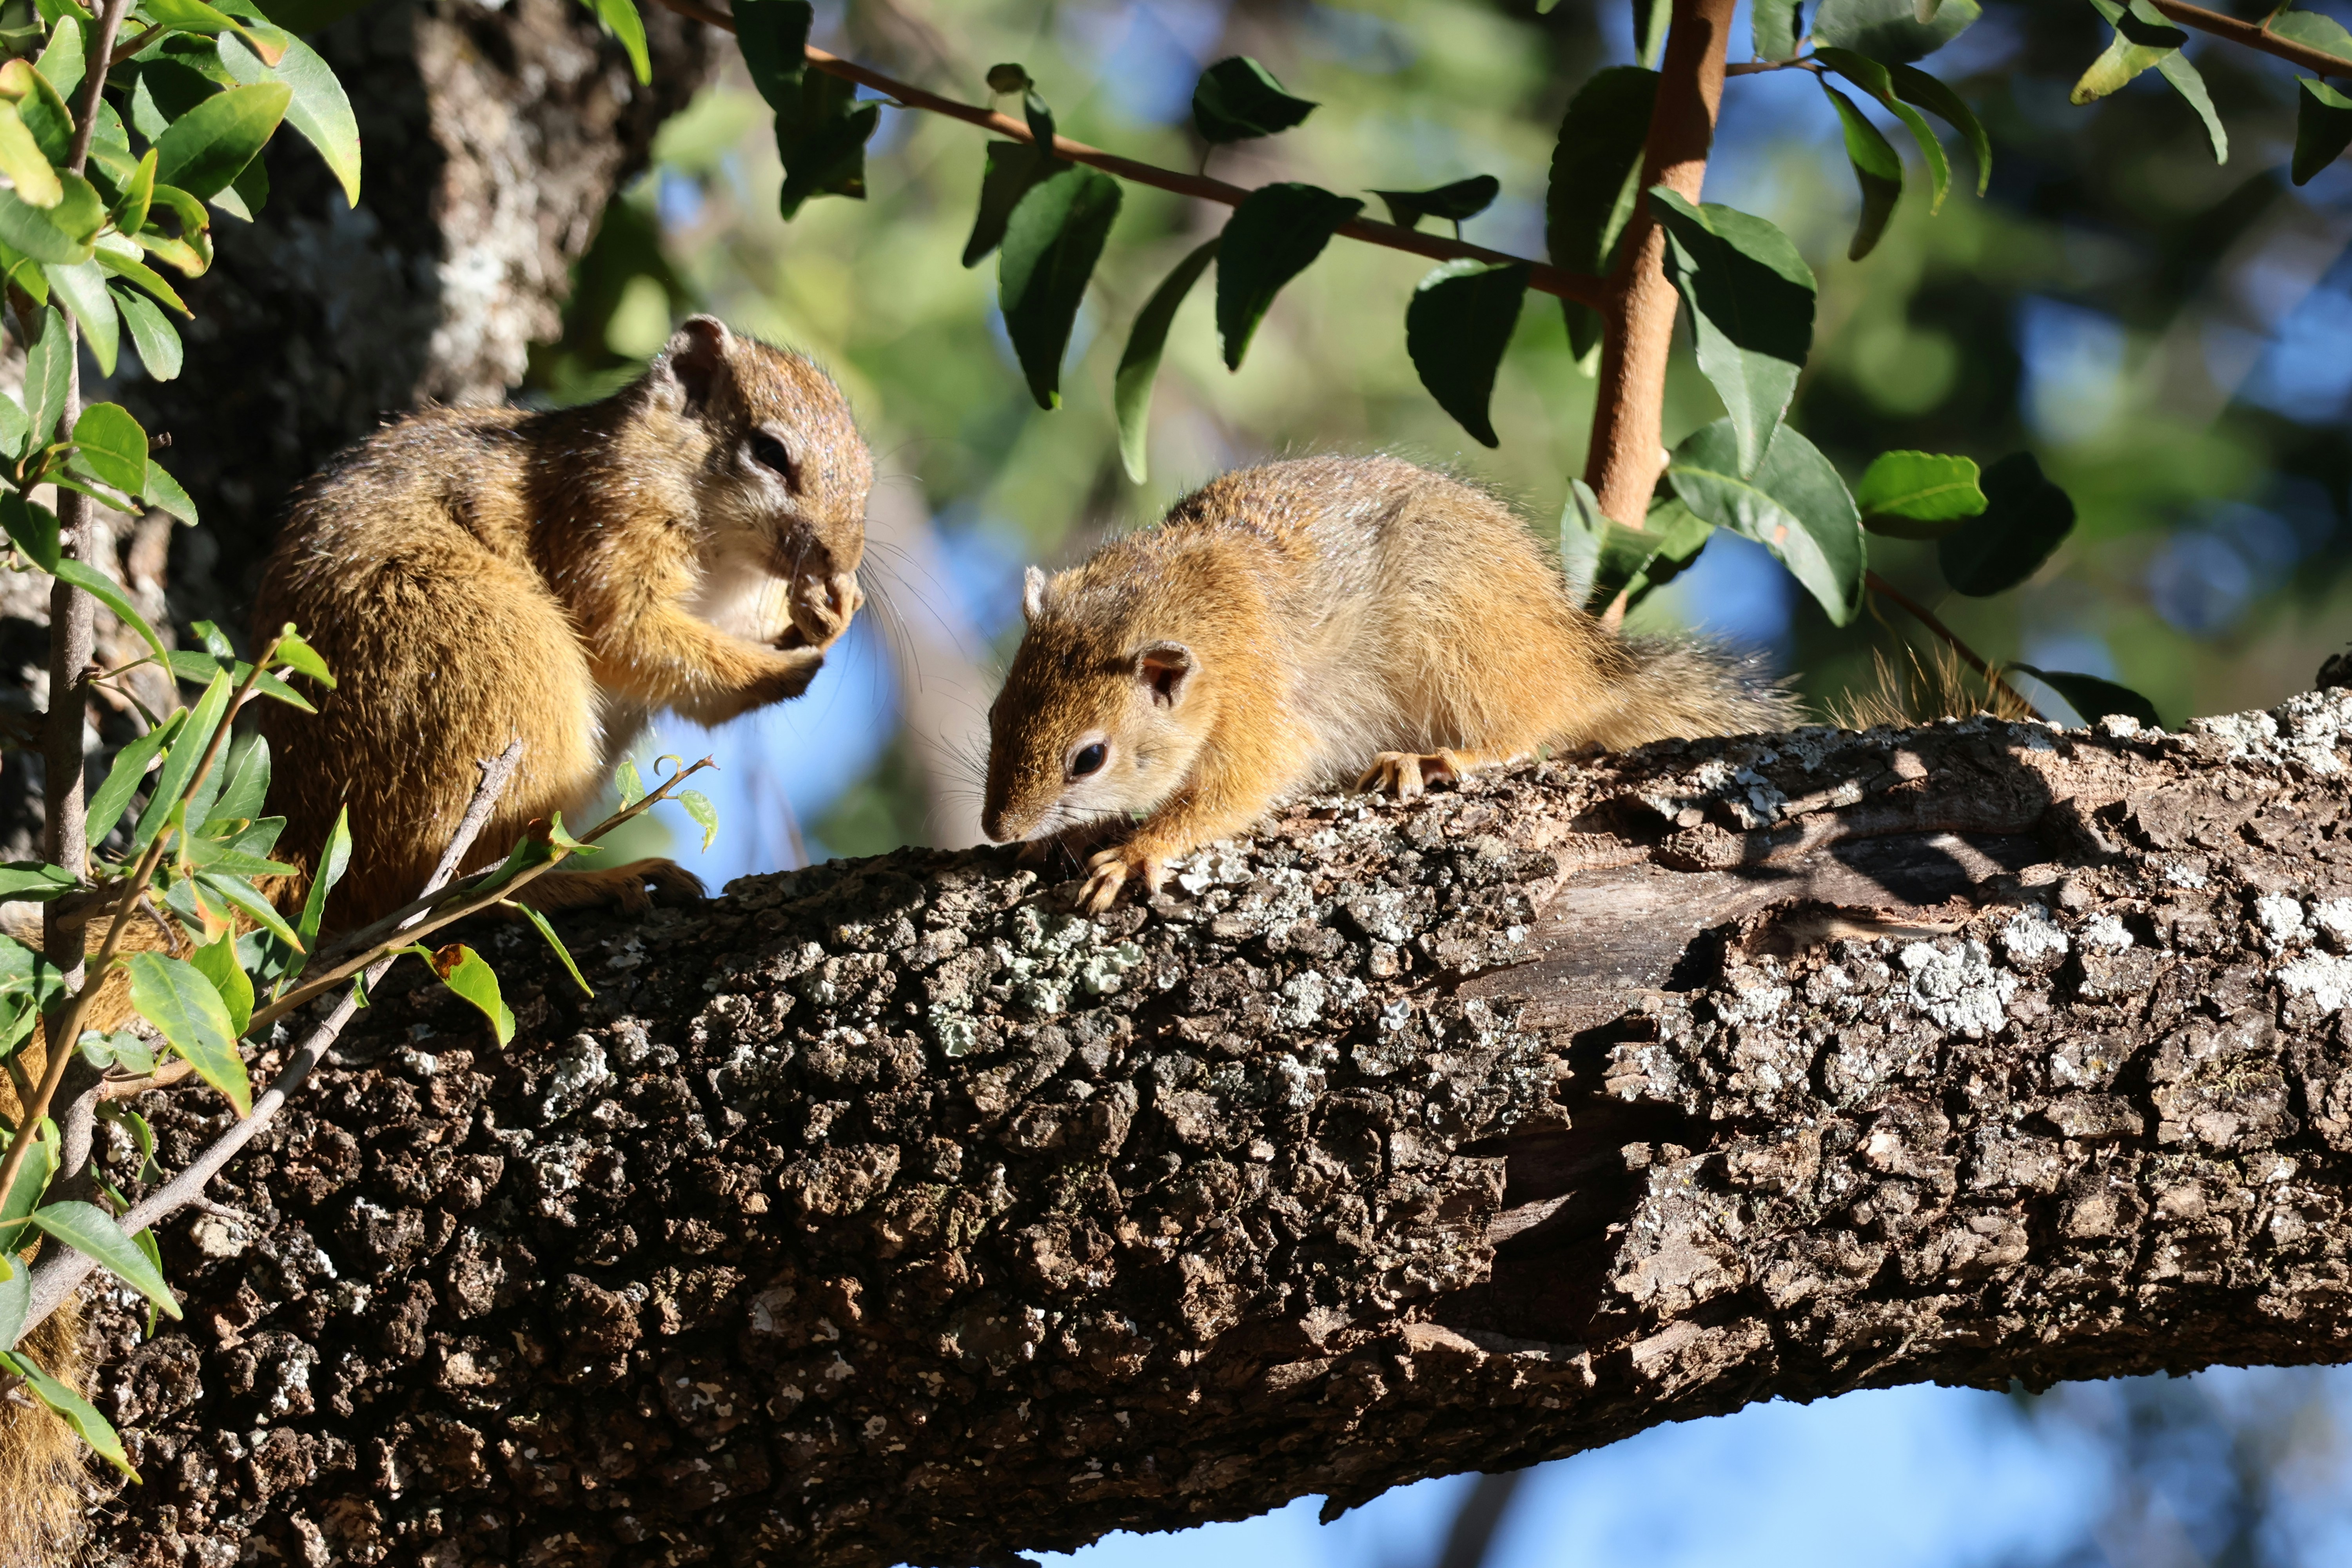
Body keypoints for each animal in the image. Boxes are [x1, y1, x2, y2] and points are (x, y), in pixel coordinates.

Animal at [254, 315, 873, 932]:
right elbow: (627, 637)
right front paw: (788, 667)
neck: (731, 563)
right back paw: (591, 884)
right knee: (450, 892)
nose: (839, 559)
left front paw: (833, 612)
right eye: (769, 452)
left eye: (869, 474)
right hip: (490, 663)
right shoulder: (598, 516)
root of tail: (308, 843)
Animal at [981, 455, 1798, 911]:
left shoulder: (1260, 711)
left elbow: (1234, 791)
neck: (1189, 604)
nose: (998, 830)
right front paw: (1062, 838)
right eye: (993, 717)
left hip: (1461, 640)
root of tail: (1575, 661)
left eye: (1090, 757)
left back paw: (1436, 757)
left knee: (1525, 730)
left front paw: (1135, 851)